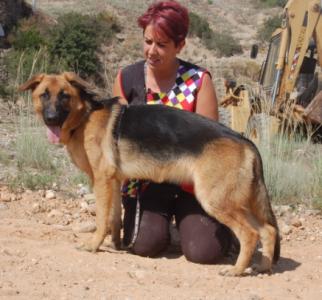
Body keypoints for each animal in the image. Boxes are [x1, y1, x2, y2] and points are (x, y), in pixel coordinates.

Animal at [19, 72, 280, 276]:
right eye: (44, 95)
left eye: (64, 95)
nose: (51, 118)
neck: (84, 117)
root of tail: (245, 141)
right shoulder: (113, 182)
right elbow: (114, 218)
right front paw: (116, 244)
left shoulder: (100, 181)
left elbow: (102, 219)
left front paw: (94, 245)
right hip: (236, 203)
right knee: (268, 230)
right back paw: (263, 267)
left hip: (216, 202)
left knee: (250, 234)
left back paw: (236, 270)